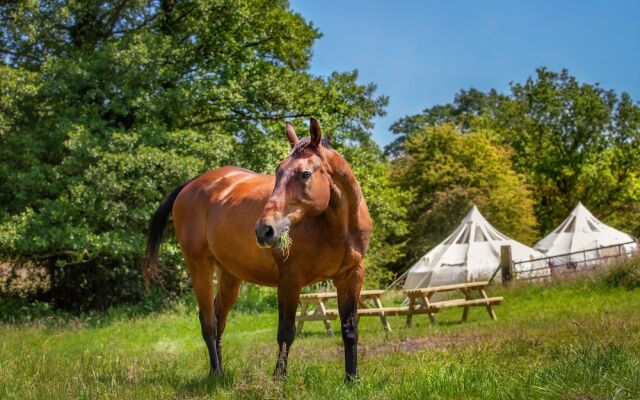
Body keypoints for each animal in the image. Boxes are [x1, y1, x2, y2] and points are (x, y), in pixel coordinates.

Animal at [144, 119, 376, 382]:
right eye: (277, 171)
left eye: (305, 174)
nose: (264, 230)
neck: (338, 227)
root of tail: (191, 185)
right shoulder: (290, 280)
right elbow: (286, 332)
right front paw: (278, 381)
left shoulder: (351, 276)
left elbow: (350, 329)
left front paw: (351, 379)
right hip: (199, 266)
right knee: (208, 322)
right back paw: (215, 373)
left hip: (230, 276)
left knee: (219, 318)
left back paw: (221, 372)